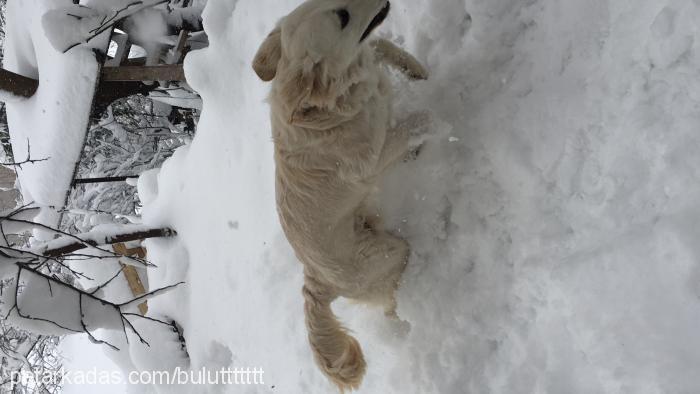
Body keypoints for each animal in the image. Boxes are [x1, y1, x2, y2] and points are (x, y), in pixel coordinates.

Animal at [252, 0, 426, 390]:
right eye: (342, 17)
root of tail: (316, 282)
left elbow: (380, 47)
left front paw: (416, 68)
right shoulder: (371, 158)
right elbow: (418, 123)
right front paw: (441, 124)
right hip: (388, 253)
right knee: (390, 299)